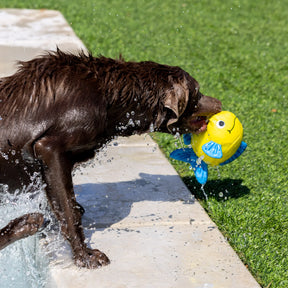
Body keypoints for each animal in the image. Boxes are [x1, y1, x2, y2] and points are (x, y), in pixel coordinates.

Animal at [0, 50, 222, 268]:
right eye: (197, 91)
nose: (220, 103)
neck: (111, 98)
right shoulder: (49, 148)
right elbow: (69, 209)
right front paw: (85, 255)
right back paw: (26, 224)